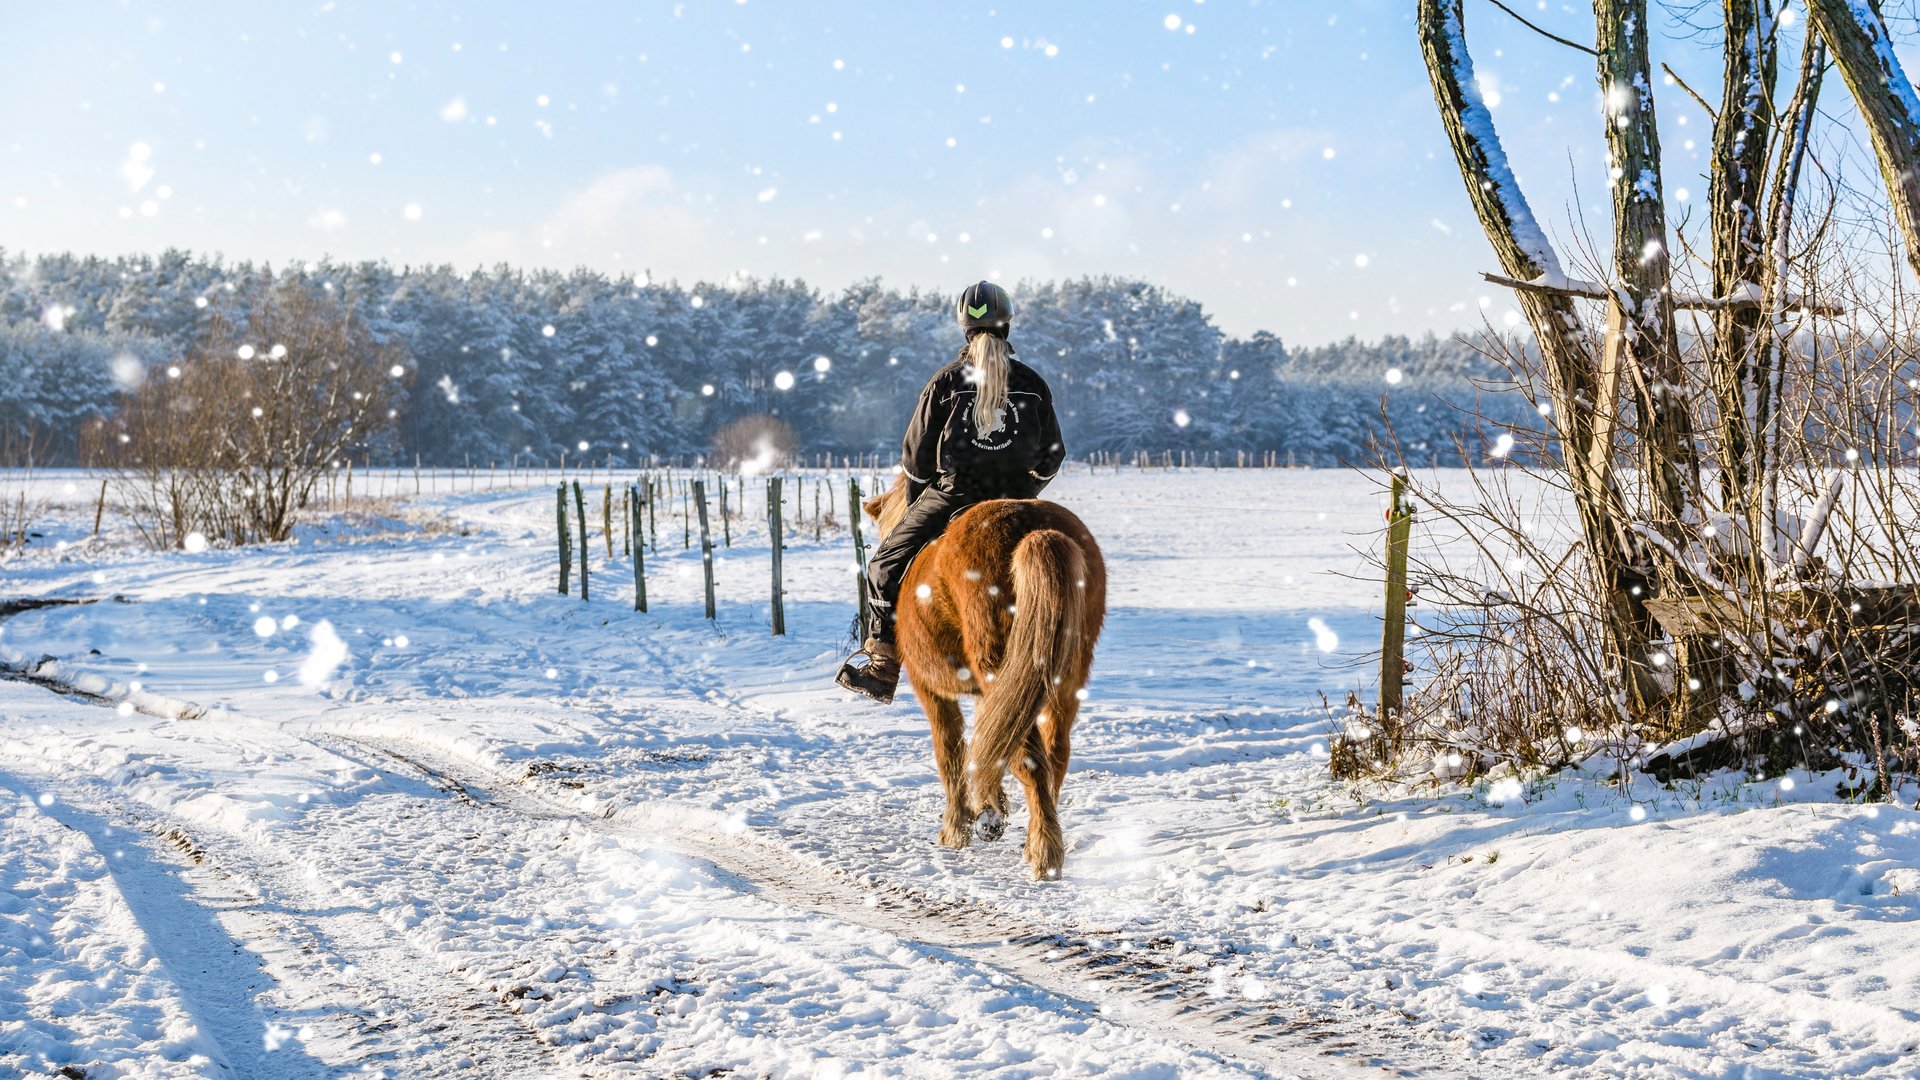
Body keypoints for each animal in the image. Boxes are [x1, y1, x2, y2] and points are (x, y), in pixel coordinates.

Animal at [864, 474, 1105, 880]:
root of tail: (1033, 530)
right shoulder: (984, 693)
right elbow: (988, 744)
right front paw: (991, 811)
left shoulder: (930, 690)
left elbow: (950, 752)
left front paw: (956, 829)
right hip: (1062, 680)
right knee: (1053, 754)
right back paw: (1036, 838)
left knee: (1030, 759)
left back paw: (1043, 854)